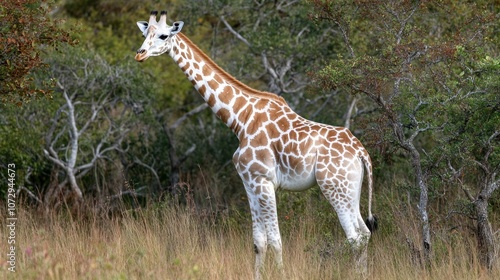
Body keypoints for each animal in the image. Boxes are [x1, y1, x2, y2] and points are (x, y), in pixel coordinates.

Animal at [135, 9, 376, 278]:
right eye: (145, 34)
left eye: (164, 36)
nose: (140, 54)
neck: (240, 119)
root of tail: (361, 152)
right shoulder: (248, 183)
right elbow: (259, 242)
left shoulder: (264, 181)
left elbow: (276, 241)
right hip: (352, 188)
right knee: (365, 233)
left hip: (335, 187)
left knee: (354, 237)